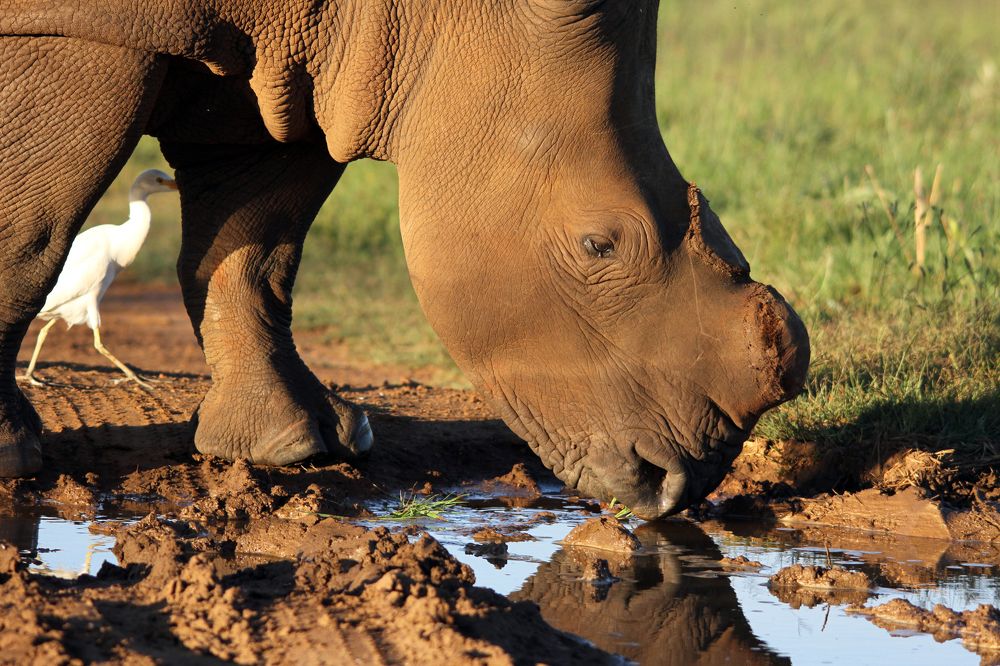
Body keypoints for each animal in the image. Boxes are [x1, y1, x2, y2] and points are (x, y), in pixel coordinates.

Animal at [0, 0, 809, 519]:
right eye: (598, 245)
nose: (684, 485)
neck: (431, 14)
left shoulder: (288, 63)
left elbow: (254, 250)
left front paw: (295, 448)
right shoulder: (72, 26)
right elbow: (28, 227)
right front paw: (11, 457)